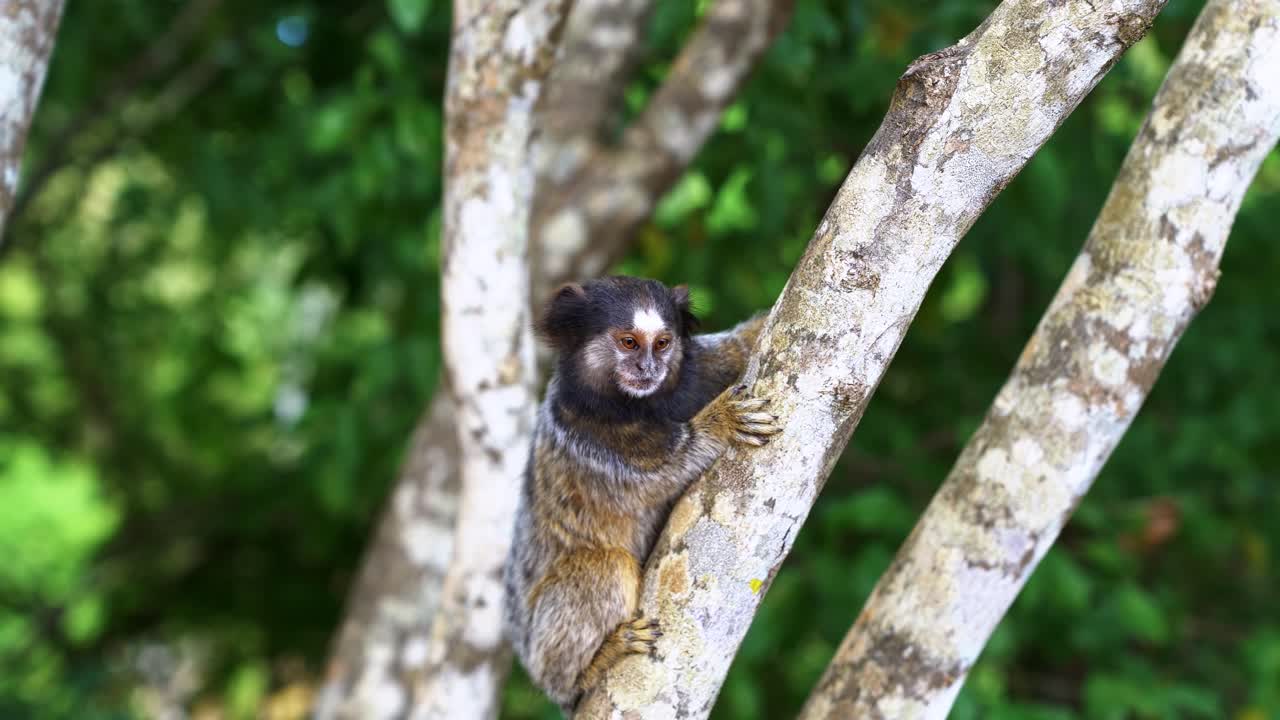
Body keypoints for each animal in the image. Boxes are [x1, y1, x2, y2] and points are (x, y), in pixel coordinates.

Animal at [502, 275, 780, 714]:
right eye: (629, 343)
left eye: (663, 343)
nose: (648, 368)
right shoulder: (589, 439)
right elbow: (669, 467)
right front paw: (720, 422)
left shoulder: (702, 367)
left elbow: (741, 342)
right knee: (607, 567)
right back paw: (589, 668)